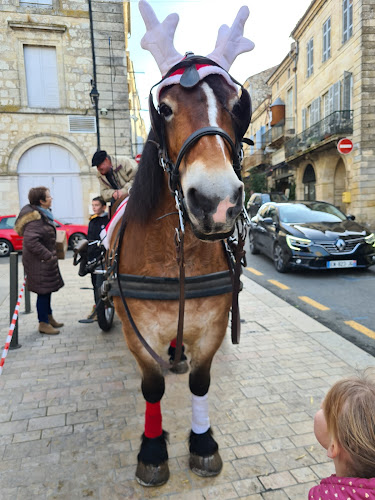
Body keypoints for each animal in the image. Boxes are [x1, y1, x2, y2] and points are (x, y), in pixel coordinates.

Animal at [108, 0, 256, 484]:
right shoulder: (137, 332)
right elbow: (152, 386)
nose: (215, 202)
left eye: (237, 106)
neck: (177, 257)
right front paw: (153, 450)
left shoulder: (211, 326)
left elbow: (200, 383)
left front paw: (202, 441)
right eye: (166, 109)